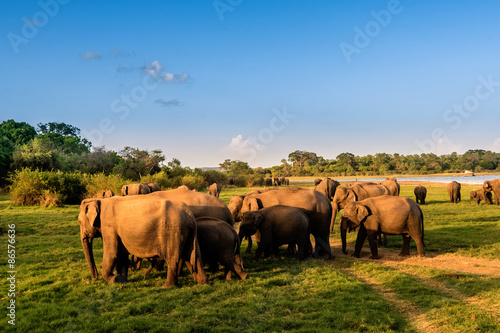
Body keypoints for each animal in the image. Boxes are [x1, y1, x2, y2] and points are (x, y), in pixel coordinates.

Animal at [79, 196, 208, 286]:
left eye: (79, 222)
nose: (95, 278)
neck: (99, 200)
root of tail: (190, 214)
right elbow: (121, 253)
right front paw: (122, 280)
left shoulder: (108, 226)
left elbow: (112, 252)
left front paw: (115, 279)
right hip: (188, 233)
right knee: (195, 256)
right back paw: (202, 283)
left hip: (173, 230)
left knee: (173, 258)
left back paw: (166, 286)